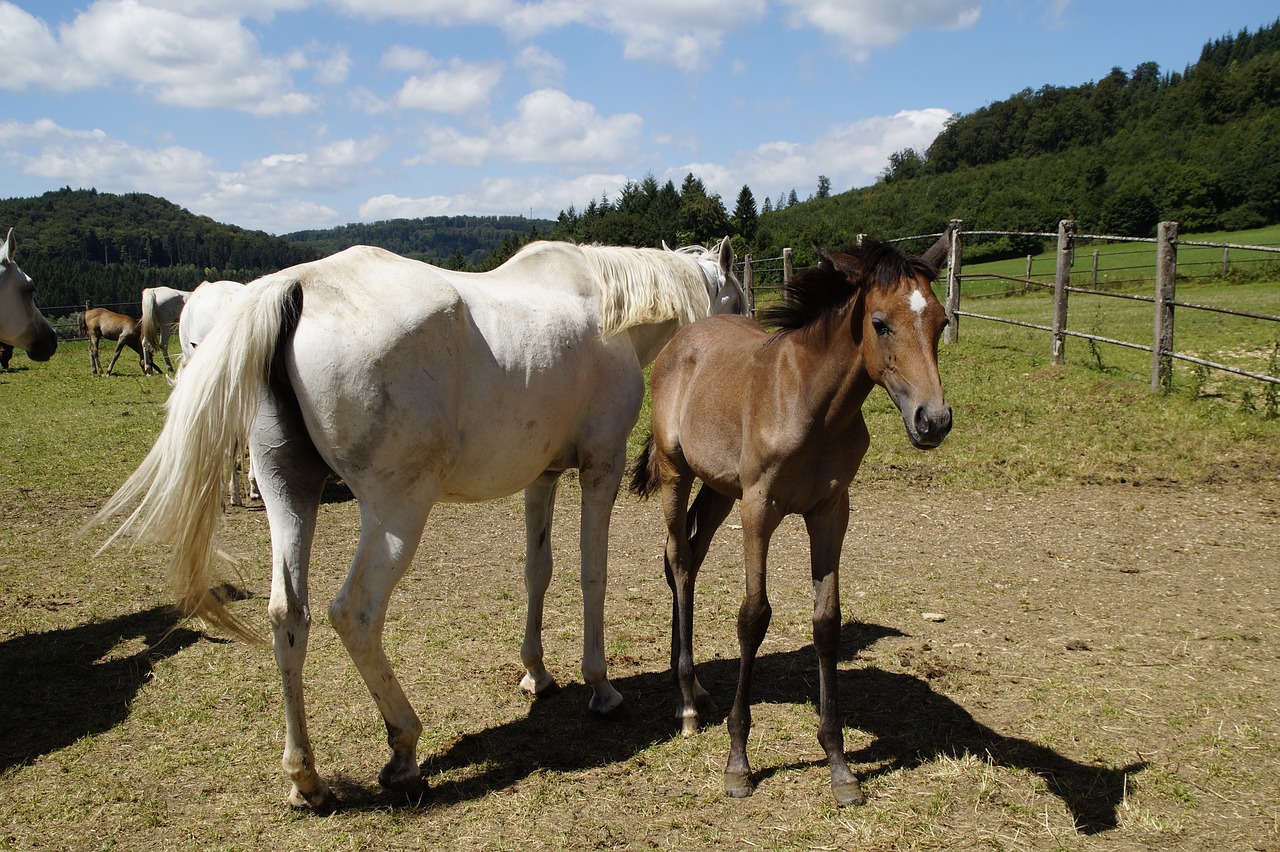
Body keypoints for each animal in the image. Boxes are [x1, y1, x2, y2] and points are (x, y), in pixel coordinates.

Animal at [97, 235, 747, 808]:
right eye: (738, 304)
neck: (602, 307)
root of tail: (296, 287)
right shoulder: (599, 469)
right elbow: (592, 575)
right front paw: (601, 686)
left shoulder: (541, 477)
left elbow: (538, 571)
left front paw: (536, 672)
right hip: (397, 511)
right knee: (354, 614)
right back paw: (404, 751)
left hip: (290, 492)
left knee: (289, 616)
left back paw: (307, 780)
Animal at [634, 228, 957, 808]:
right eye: (880, 323)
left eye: (941, 322)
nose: (933, 420)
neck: (813, 403)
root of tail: (683, 339)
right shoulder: (759, 507)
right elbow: (754, 616)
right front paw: (738, 763)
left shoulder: (831, 511)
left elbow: (826, 621)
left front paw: (839, 765)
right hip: (677, 474)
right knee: (679, 560)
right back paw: (687, 703)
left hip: (719, 490)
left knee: (686, 555)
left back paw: (692, 688)